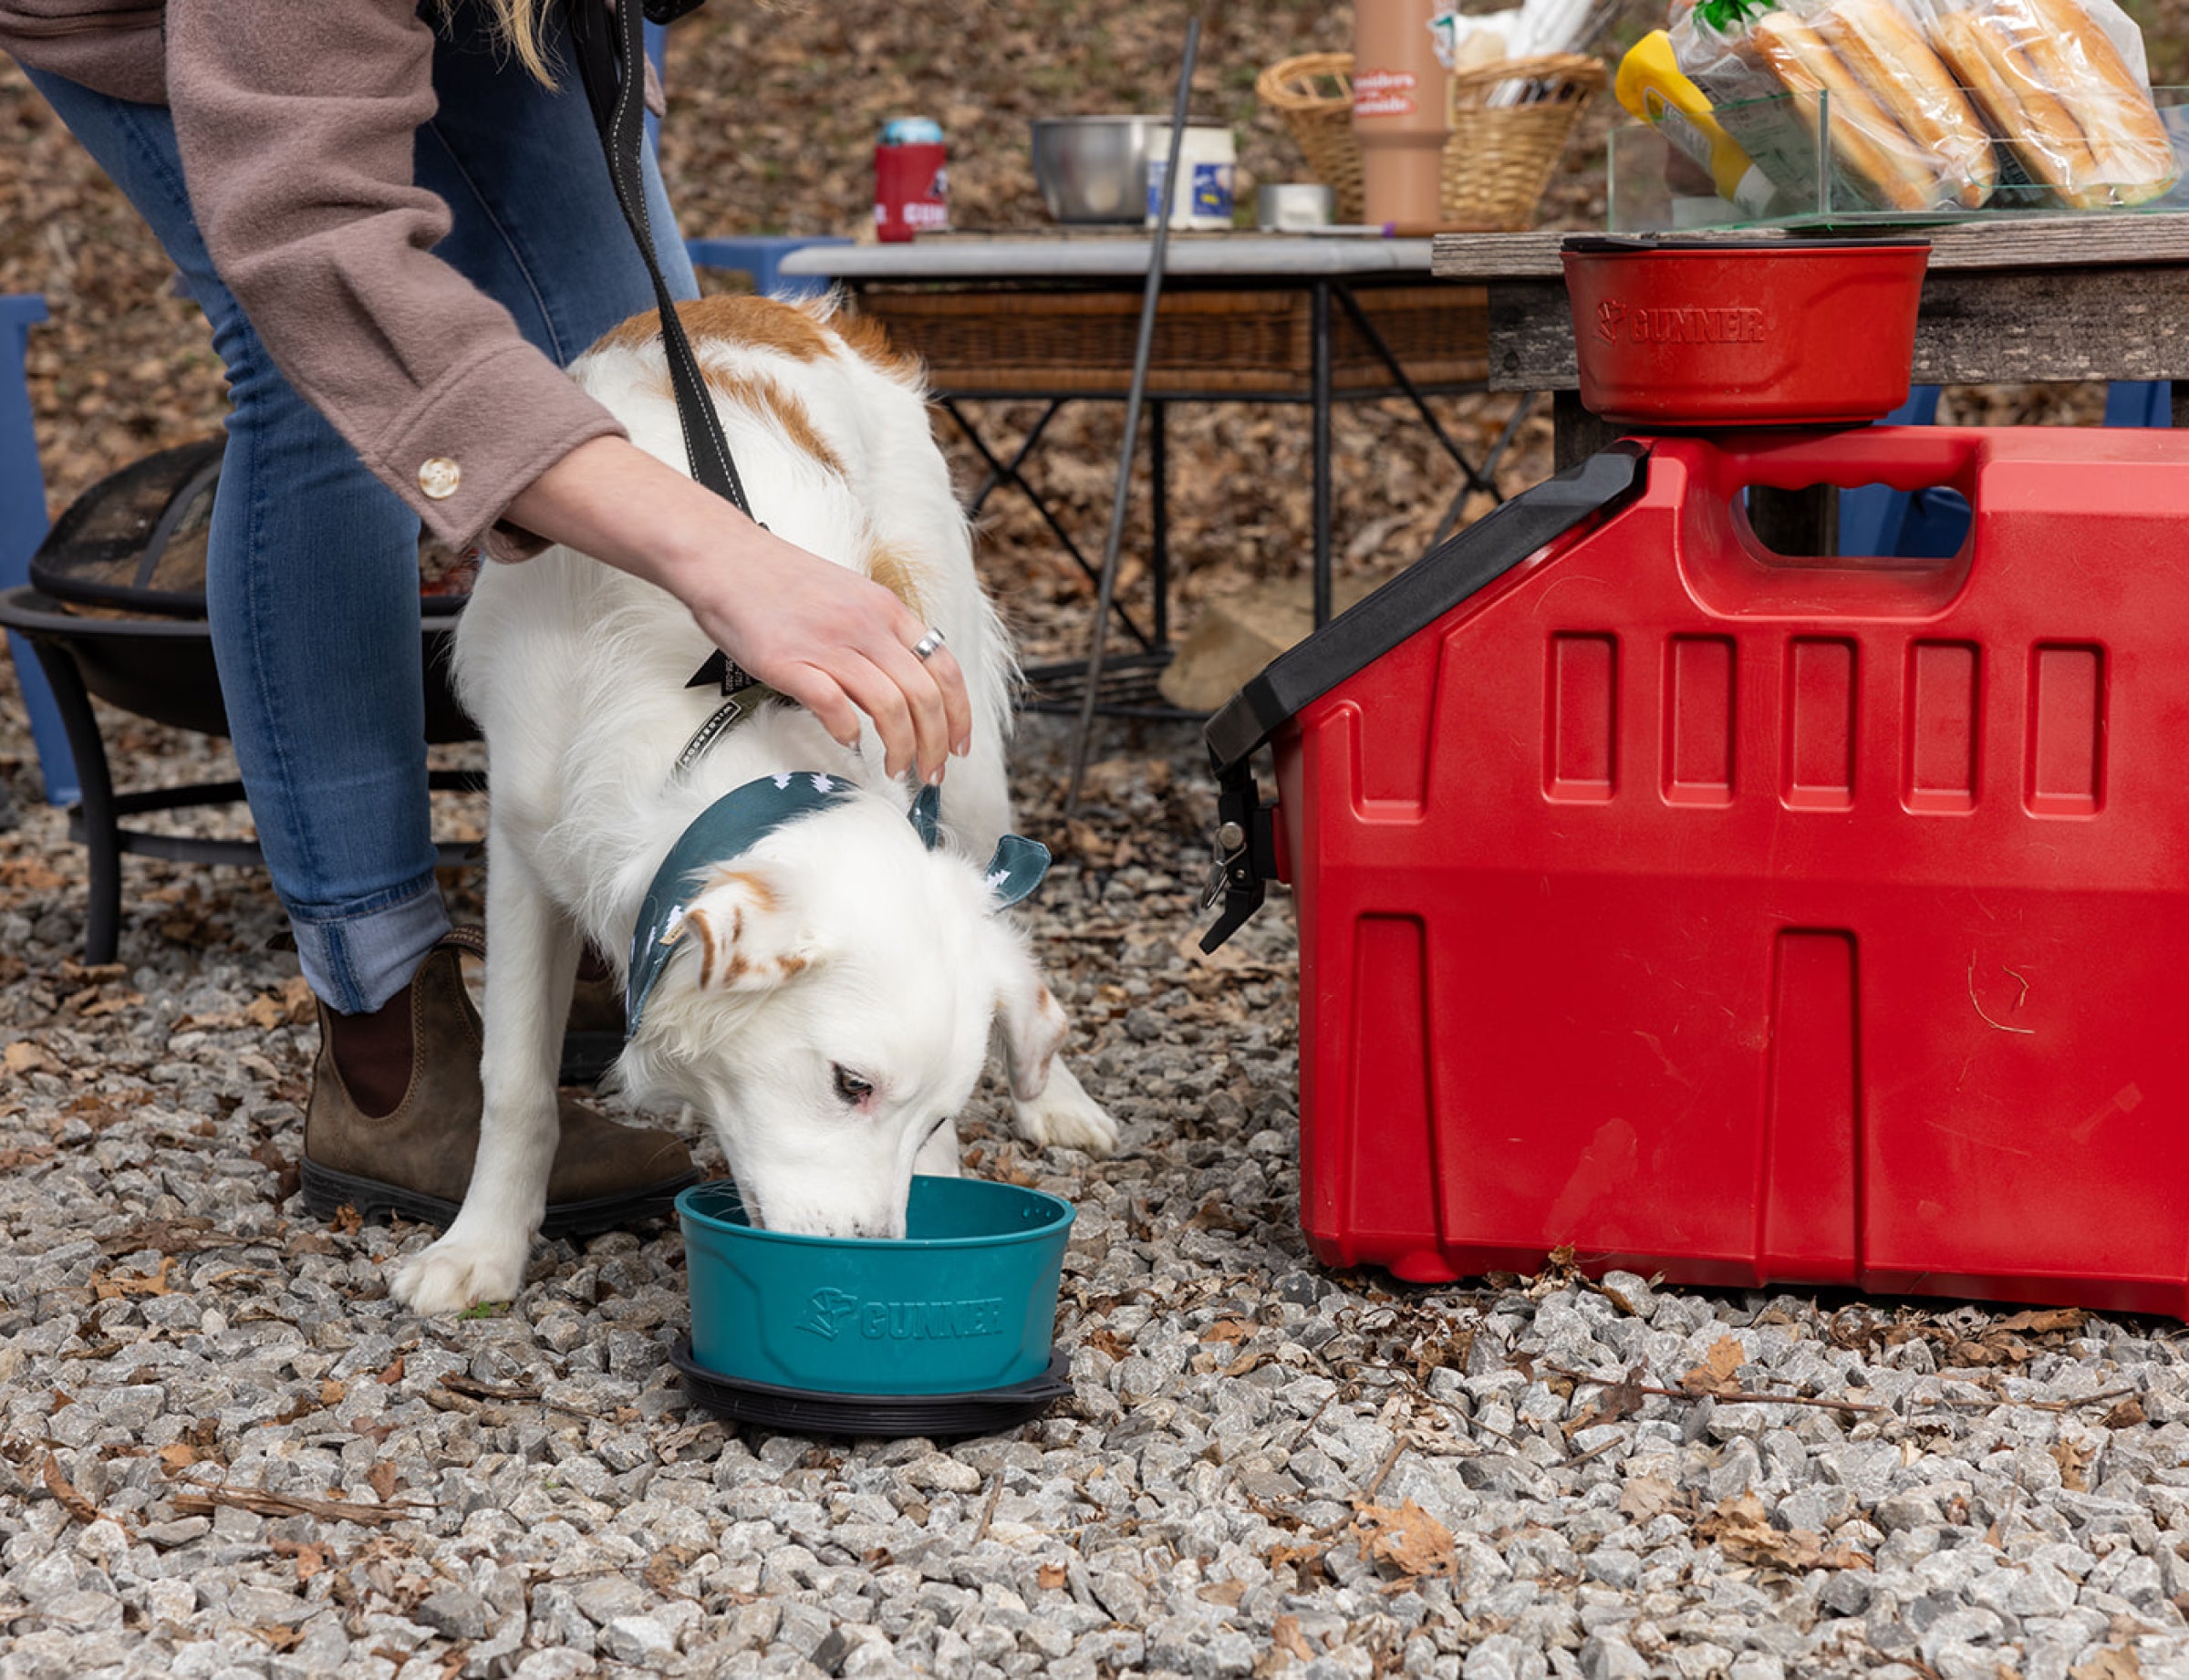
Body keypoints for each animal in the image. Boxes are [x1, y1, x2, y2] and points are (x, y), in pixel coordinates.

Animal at [385, 295, 1120, 1312]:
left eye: (939, 1112)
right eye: (849, 1084)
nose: (881, 1259)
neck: (706, 717)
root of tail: (771, 307)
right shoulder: (522, 845)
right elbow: (517, 1081)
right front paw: (482, 1249)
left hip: (961, 745)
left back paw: (1057, 1095)